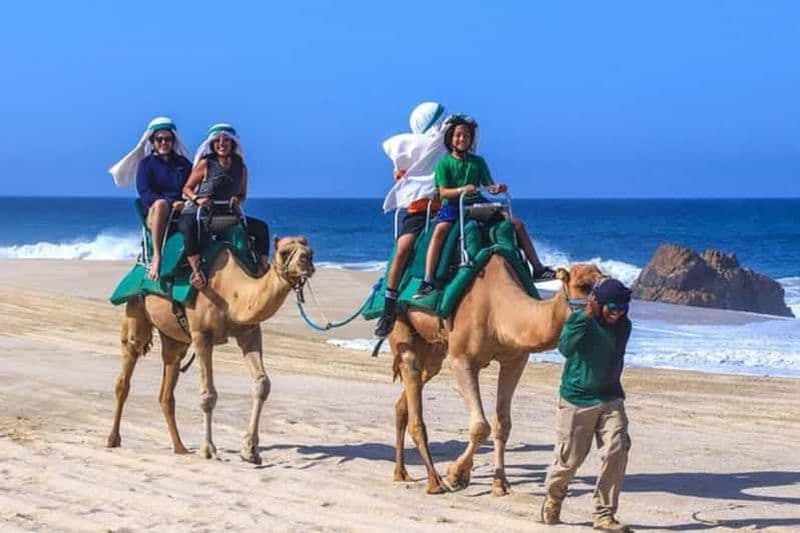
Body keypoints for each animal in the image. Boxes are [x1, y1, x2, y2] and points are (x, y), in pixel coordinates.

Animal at [106, 236, 314, 464]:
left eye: (310, 250)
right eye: (284, 252)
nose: (307, 260)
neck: (231, 292)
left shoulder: (249, 331)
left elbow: (262, 384)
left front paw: (250, 450)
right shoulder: (201, 335)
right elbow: (208, 394)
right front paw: (207, 449)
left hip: (174, 338)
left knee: (167, 387)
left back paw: (180, 447)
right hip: (136, 310)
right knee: (126, 371)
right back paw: (113, 439)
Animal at [388, 257, 604, 495]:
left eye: (606, 279)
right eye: (583, 285)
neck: (499, 309)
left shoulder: (515, 361)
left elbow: (502, 424)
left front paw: (499, 483)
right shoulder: (461, 359)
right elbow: (481, 427)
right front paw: (455, 474)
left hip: (434, 347)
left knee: (408, 395)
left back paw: (402, 472)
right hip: (402, 324)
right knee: (410, 368)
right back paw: (434, 481)